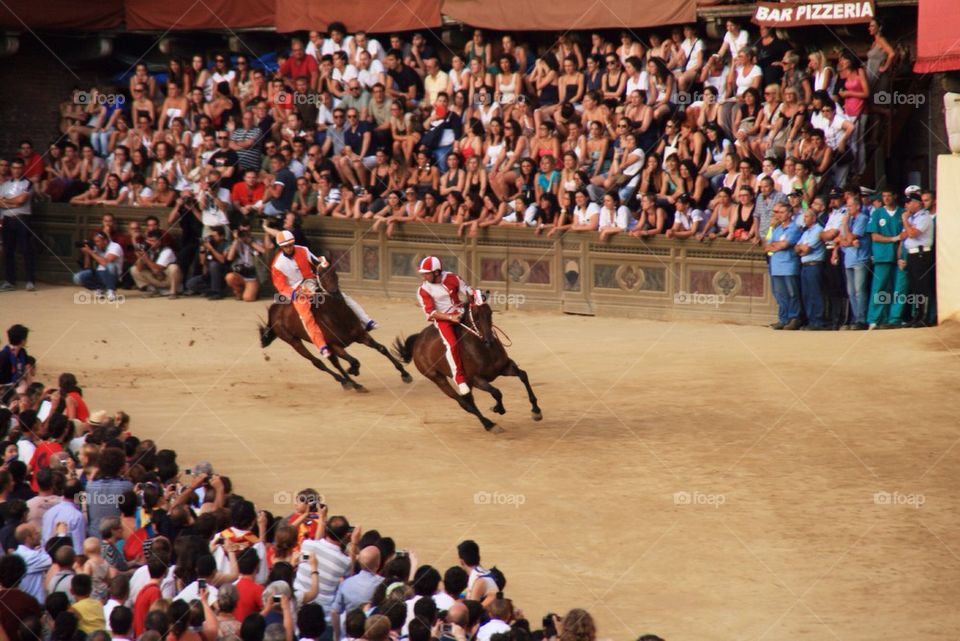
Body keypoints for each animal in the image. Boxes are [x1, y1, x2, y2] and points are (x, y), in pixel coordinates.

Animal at [258, 258, 412, 390]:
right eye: (319, 274)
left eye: (334, 271)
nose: (334, 292)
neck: (337, 317)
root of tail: (274, 309)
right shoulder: (334, 345)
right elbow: (354, 361)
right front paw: (353, 371)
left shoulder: (361, 335)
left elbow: (381, 348)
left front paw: (405, 374)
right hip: (293, 340)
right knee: (319, 363)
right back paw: (349, 382)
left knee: (334, 362)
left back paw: (349, 382)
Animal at [392, 292, 540, 432]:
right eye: (476, 315)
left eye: (490, 312)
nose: (489, 341)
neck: (483, 349)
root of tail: (418, 340)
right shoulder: (476, 379)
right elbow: (496, 392)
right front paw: (498, 408)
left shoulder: (505, 367)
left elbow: (523, 375)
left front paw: (536, 411)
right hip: (438, 379)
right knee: (464, 403)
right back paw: (489, 425)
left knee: (469, 401)